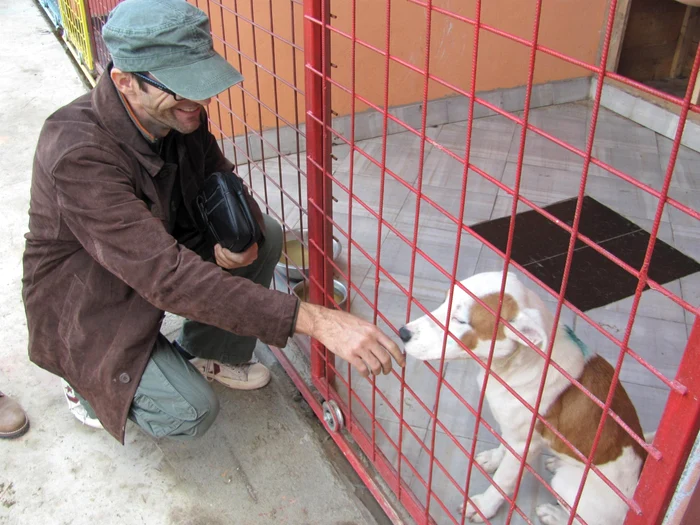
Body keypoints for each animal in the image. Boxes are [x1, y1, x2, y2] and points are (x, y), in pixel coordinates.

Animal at [400, 272, 644, 520]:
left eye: (460, 321)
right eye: (444, 300)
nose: (403, 333)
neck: (514, 365)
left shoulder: (524, 445)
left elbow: (503, 481)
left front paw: (483, 506)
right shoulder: (513, 429)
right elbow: (503, 444)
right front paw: (493, 459)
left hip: (569, 486)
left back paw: (553, 514)